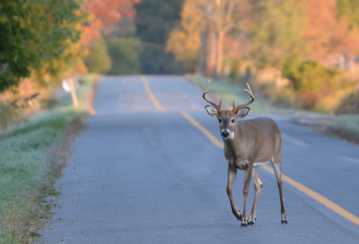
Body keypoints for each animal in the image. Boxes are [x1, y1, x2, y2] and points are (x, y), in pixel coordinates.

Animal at [204, 80, 288, 227]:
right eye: (219, 119)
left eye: (233, 120)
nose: (225, 132)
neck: (237, 150)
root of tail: (274, 122)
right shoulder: (232, 164)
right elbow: (228, 188)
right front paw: (238, 214)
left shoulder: (248, 162)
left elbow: (245, 190)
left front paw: (243, 219)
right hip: (256, 164)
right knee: (259, 184)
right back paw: (252, 218)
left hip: (277, 155)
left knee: (279, 181)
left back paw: (283, 217)